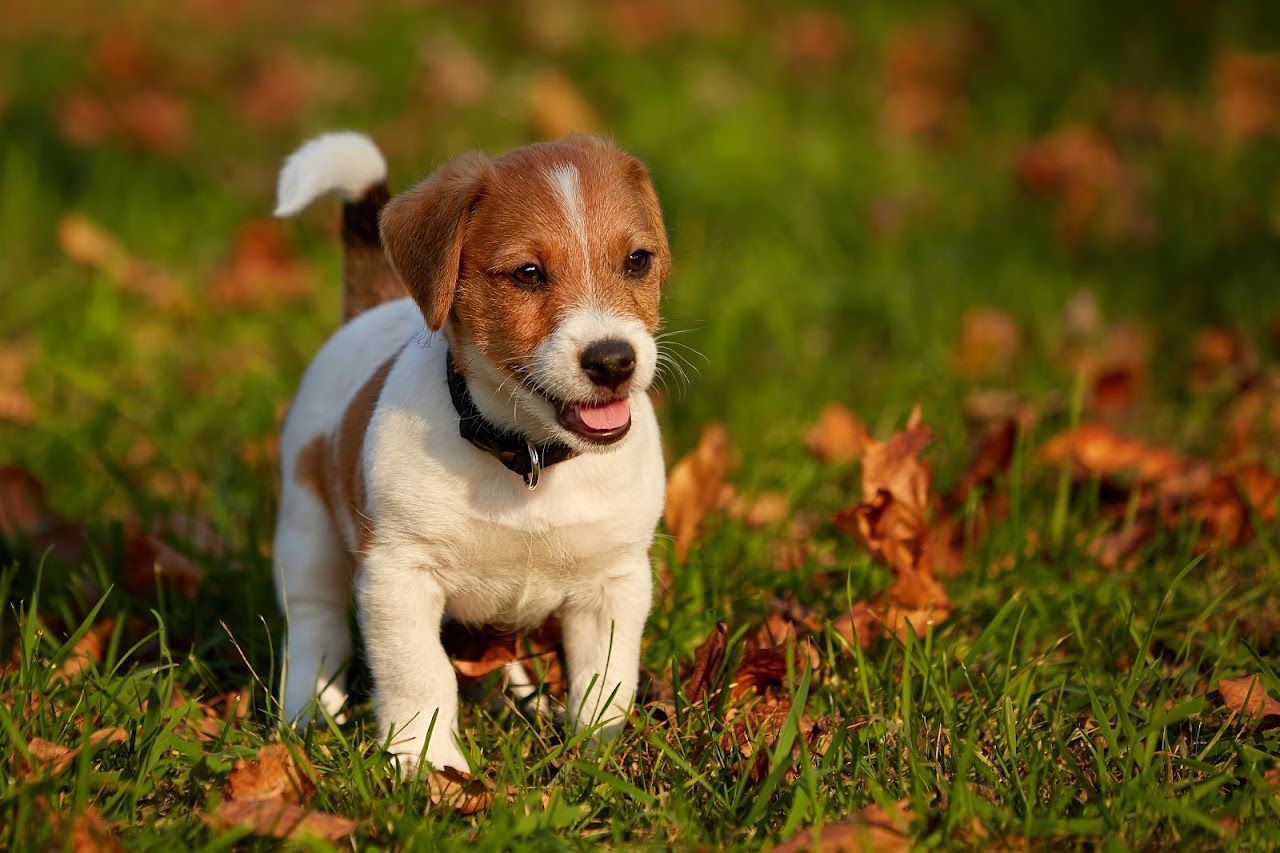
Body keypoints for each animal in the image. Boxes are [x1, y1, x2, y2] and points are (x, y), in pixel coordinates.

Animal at [270, 128, 670, 768]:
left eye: (637, 260)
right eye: (528, 273)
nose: (613, 361)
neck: (528, 457)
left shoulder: (614, 583)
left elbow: (605, 679)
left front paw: (596, 757)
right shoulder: (399, 577)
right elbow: (421, 675)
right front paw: (429, 763)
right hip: (305, 532)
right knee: (315, 626)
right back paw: (308, 715)